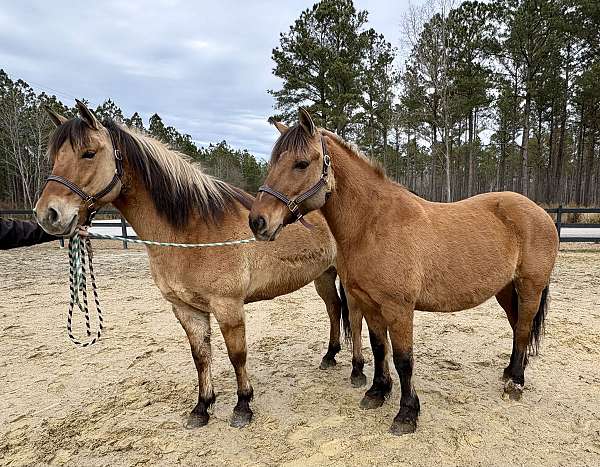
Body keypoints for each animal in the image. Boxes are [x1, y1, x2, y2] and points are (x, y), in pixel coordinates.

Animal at [35, 100, 368, 430]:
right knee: (333, 309)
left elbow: (237, 355)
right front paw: (202, 407)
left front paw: (243, 405)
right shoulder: (185, 309)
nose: (47, 214)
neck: (191, 230)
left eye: (88, 153)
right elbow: (201, 357)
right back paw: (329, 355)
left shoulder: (228, 306)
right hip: (323, 275)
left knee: (354, 315)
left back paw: (357, 370)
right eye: (55, 157)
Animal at [248, 109, 556, 436]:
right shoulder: (370, 303)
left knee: (522, 330)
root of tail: (540, 212)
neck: (372, 225)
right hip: (506, 290)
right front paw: (377, 391)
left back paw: (516, 383)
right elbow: (378, 348)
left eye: (302, 163)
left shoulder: (399, 308)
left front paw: (407, 413)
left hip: (530, 287)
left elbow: (403, 359)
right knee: (516, 327)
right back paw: (509, 372)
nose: (258, 221)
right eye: (272, 162)